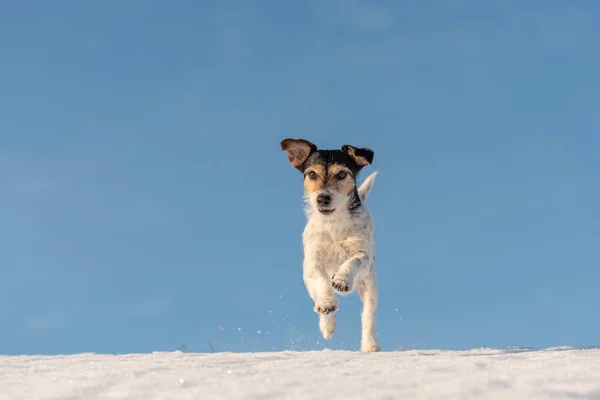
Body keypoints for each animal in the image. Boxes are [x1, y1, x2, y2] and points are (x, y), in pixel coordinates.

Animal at [280, 139, 380, 352]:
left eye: (341, 174)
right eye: (311, 174)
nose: (323, 198)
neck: (334, 222)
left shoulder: (364, 255)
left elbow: (353, 262)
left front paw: (341, 279)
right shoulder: (312, 263)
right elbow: (321, 282)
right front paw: (327, 303)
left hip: (370, 285)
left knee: (368, 315)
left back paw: (370, 345)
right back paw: (328, 324)